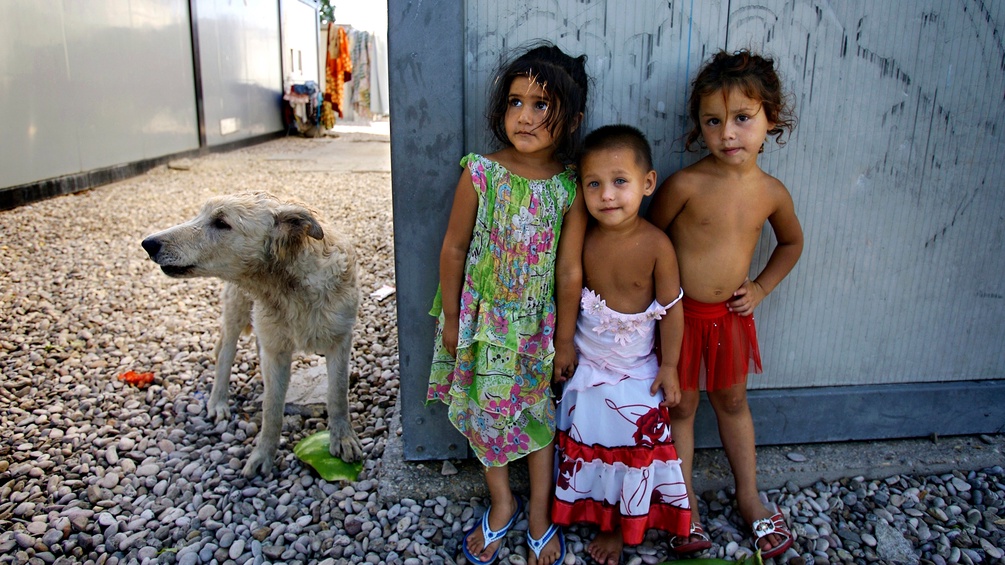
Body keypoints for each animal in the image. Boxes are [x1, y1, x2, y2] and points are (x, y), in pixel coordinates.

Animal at [139, 191, 363, 472]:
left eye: (221, 223)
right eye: (201, 215)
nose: (148, 243)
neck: (289, 287)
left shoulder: (339, 340)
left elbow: (338, 395)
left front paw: (343, 438)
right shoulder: (276, 350)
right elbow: (271, 408)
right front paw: (263, 454)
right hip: (237, 309)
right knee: (224, 351)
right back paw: (218, 400)